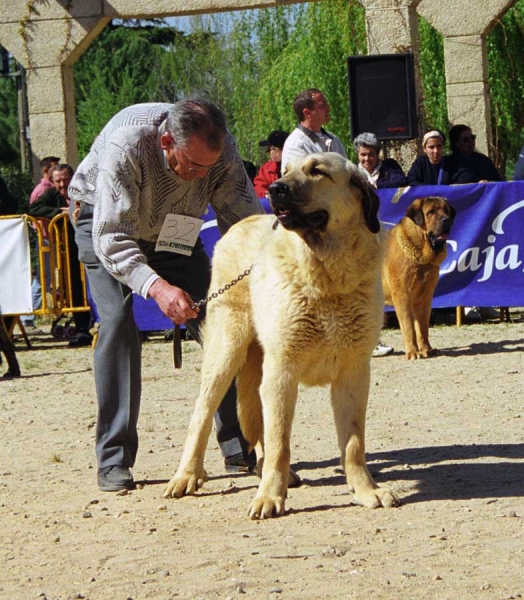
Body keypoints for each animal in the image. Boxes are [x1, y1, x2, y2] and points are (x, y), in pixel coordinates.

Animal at [164, 154, 398, 520]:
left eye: (317, 171)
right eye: (286, 170)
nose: (275, 188)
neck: (325, 274)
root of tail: (236, 228)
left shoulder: (353, 373)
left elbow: (353, 444)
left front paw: (366, 490)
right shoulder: (282, 372)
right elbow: (279, 443)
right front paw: (270, 497)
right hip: (226, 352)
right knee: (203, 414)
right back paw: (187, 475)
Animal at [380, 196, 454, 360]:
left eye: (446, 210)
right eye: (431, 212)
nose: (446, 220)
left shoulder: (425, 297)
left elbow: (422, 327)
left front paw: (427, 349)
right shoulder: (403, 296)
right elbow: (409, 327)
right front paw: (413, 352)